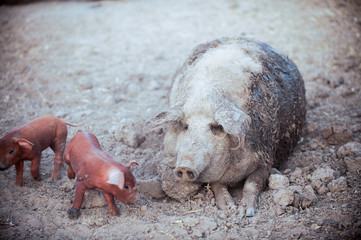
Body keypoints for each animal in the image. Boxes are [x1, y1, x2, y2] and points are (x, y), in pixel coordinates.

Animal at [148, 36, 306, 217]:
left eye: (216, 127)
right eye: (185, 126)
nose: (184, 166)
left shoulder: (267, 155)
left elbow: (254, 181)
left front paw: (246, 212)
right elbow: (217, 184)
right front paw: (228, 207)